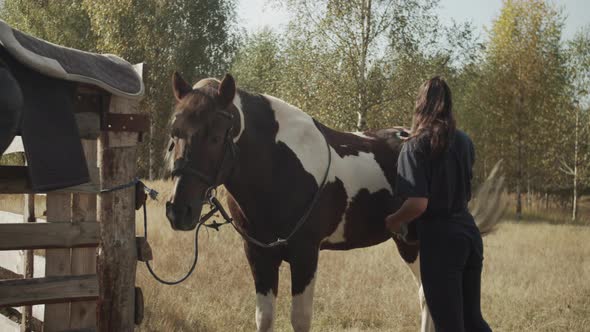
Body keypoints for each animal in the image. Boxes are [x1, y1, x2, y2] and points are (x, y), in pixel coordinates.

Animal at [164, 72, 506, 332]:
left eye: (216, 135)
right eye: (174, 132)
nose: (179, 211)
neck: (279, 168)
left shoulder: (305, 254)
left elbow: (300, 319)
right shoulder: (258, 254)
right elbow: (264, 318)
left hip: (417, 246)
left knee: (429, 298)